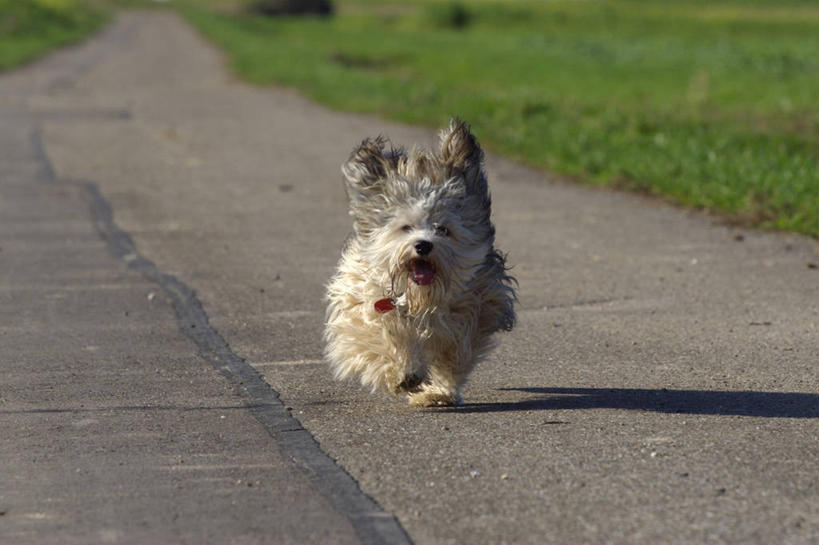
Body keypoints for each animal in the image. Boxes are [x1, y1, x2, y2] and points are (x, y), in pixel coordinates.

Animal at [324, 121, 516, 406]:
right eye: (406, 227)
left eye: (443, 229)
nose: (423, 245)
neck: (420, 296)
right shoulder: (366, 303)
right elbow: (382, 334)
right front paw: (404, 372)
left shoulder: (477, 304)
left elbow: (455, 351)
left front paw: (440, 391)